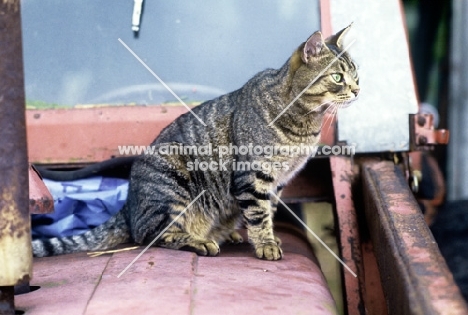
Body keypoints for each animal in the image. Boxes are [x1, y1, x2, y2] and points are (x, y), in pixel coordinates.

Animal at [33, 24, 360, 262]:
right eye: (337, 77)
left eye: (356, 74)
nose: (358, 90)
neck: (305, 122)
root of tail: (128, 204)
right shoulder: (254, 176)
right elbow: (258, 213)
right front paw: (266, 244)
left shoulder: (278, 181)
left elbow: (268, 211)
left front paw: (268, 236)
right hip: (174, 185)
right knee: (152, 235)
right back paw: (200, 241)